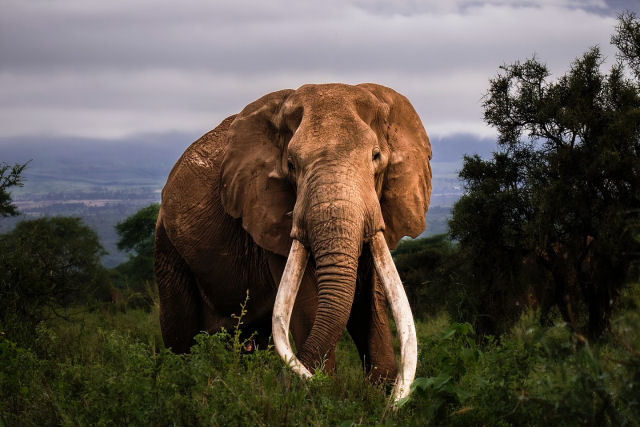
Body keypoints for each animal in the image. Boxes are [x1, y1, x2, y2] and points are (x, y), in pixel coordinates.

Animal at [154, 83, 432, 400]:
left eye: (376, 157)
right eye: (290, 164)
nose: (282, 383)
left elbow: (369, 301)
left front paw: (379, 400)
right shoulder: (266, 214)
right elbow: (307, 300)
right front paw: (321, 394)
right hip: (168, 247)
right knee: (181, 337)